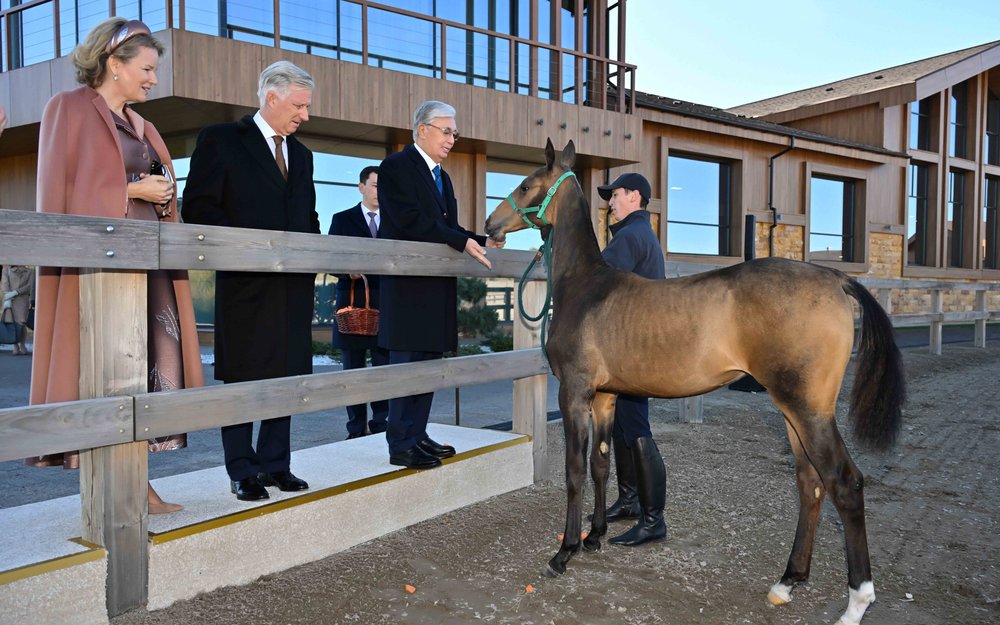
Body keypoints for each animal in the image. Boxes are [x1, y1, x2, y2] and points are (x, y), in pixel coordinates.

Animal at [484, 139, 905, 625]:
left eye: (524, 184)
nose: (489, 226)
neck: (587, 286)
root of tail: (835, 278)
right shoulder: (606, 397)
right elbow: (601, 464)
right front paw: (595, 536)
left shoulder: (574, 393)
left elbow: (574, 469)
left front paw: (565, 551)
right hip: (793, 412)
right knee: (810, 483)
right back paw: (788, 582)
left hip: (808, 411)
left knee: (844, 483)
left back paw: (856, 602)